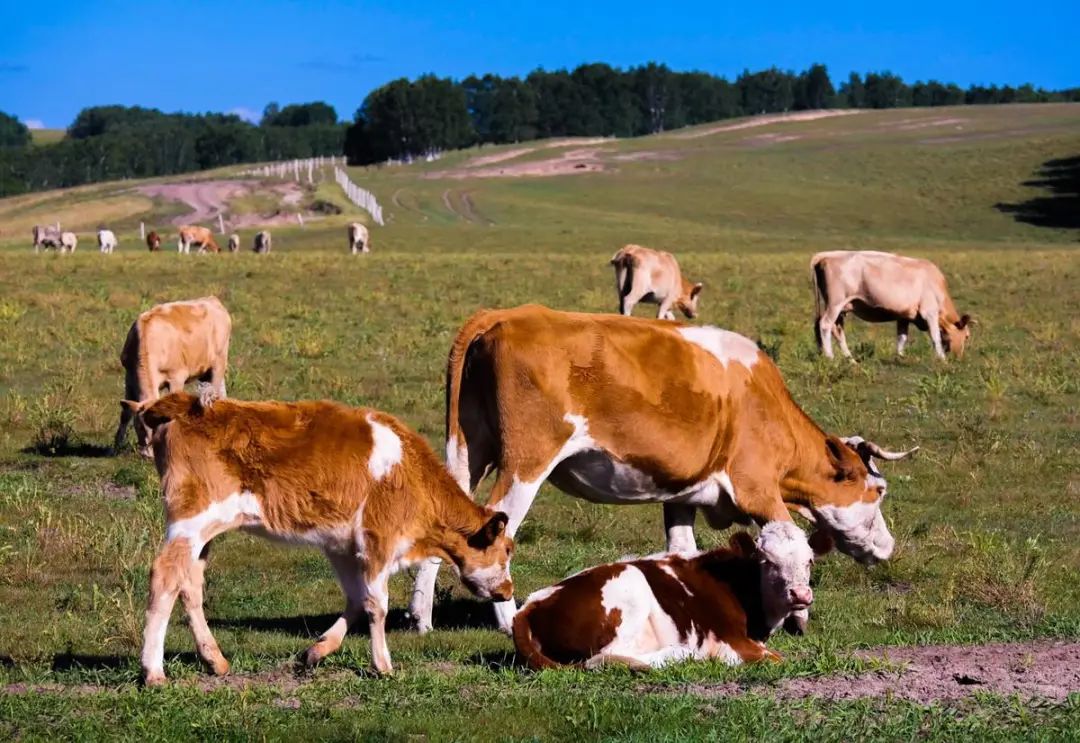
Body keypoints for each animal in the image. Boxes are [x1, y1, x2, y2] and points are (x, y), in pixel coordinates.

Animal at [113, 298, 230, 457]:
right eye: (140, 427)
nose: (148, 455)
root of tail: (212, 299)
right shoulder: (129, 376)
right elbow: (125, 414)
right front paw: (115, 447)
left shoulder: (177, 378)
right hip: (206, 372)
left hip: (219, 364)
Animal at [126, 390, 514, 686]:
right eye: (507, 550)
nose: (508, 591)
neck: (412, 473)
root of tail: (185, 402)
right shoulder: (378, 540)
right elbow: (377, 605)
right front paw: (383, 665)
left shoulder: (341, 546)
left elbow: (356, 599)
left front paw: (315, 651)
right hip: (191, 521)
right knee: (165, 576)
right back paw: (154, 672)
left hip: (203, 533)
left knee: (189, 583)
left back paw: (215, 660)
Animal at [408, 304, 915, 635]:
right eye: (879, 491)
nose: (888, 546)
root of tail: (503, 315)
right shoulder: (757, 488)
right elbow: (789, 545)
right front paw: (797, 611)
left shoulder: (682, 495)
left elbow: (682, 552)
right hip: (525, 463)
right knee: (501, 529)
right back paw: (507, 620)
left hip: (469, 451)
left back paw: (421, 618)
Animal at [511, 520, 812, 669]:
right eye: (767, 561)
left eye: (809, 561)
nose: (800, 594)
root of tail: (529, 604)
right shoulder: (731, 641)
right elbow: (776, 658)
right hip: (631, 584)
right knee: (602, 659)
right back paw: (681, 653)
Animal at [812, 249, 976, 360]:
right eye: (967, 336)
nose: (959, 357)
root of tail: (826, 256)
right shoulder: (930, 312)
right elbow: (935, 337)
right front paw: (942, 359)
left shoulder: (904, 315)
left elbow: (902, 337)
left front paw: (900, 357)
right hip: (835, 304)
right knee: (825, 325)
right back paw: (830, 357)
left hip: (841, 308)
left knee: (837, 330)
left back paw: (850, 360)